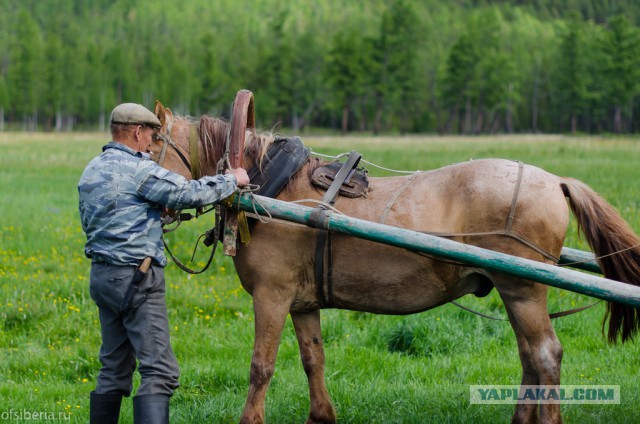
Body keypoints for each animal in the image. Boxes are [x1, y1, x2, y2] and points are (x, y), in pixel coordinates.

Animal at [149, 109, 640, 424]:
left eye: (151, 149)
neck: (270, 188)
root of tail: (554, 181)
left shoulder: (272, 296)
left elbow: (261, 365)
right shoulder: (302, 303)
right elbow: (313, 359)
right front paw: (321, 416)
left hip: (522, 288)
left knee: (545, 354)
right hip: (516, 291)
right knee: (529, 356)